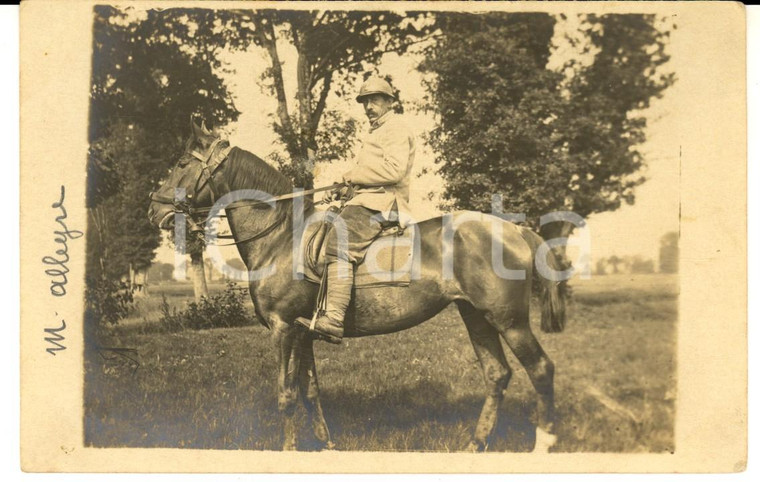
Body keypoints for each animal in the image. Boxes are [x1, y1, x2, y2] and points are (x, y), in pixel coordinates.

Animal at [147, 121, 564, 452]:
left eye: (181, 164)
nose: (155, 209)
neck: (282, 238)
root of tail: (518, 230)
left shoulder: (284, 329)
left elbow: (286, 394)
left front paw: (289, 450)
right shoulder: (303, 332)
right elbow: (310, 391)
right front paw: (325, 444)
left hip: (509, 321)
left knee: (541, 369)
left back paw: (542, 445)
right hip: (476, 316)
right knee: (497, 375)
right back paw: (476, 444)